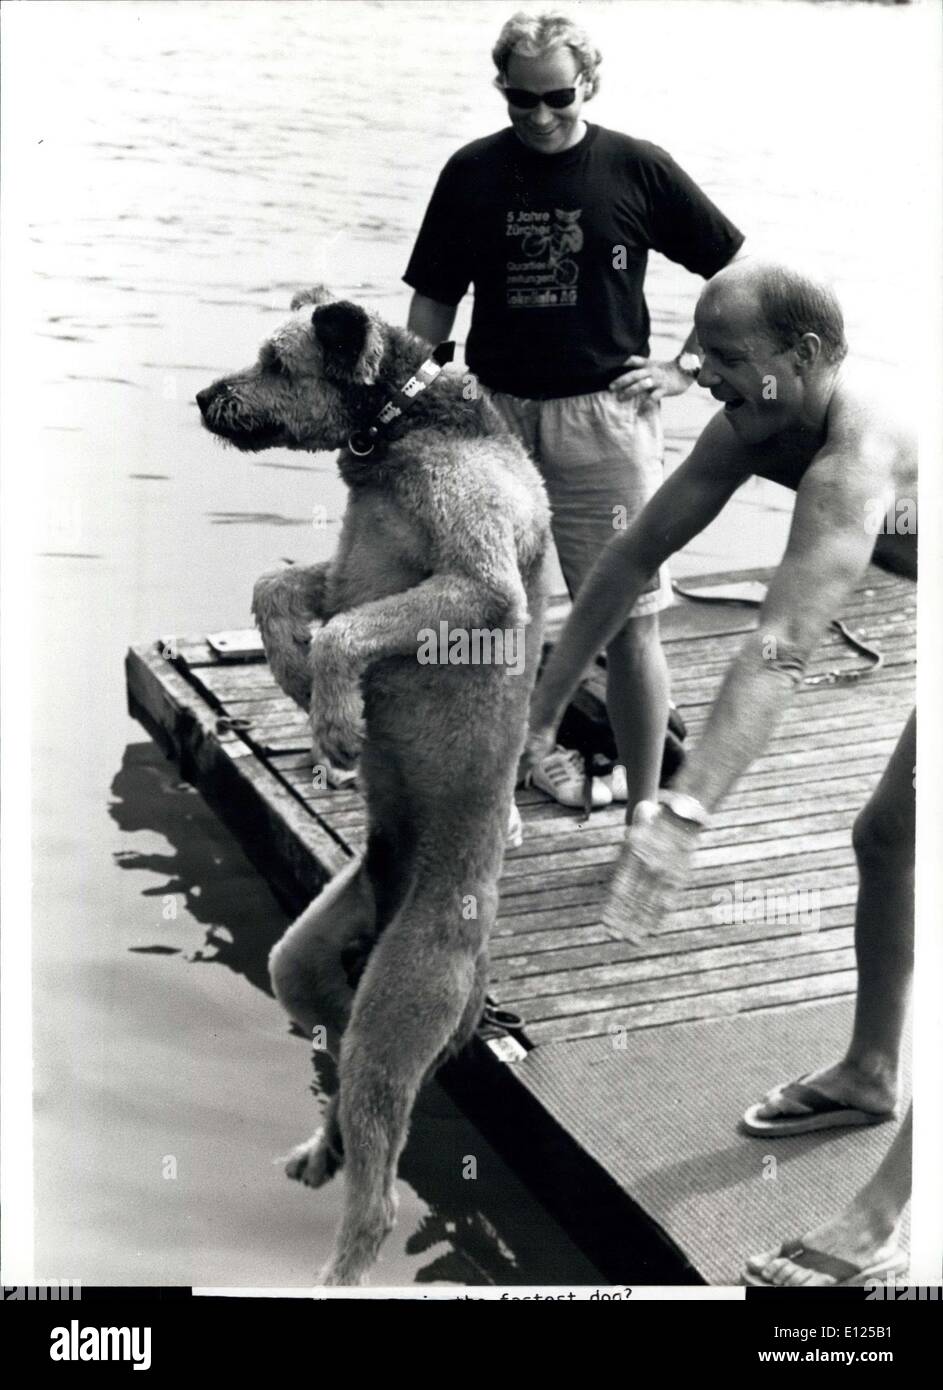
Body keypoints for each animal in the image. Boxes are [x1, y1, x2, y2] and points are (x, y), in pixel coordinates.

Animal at [196, 287, 550, 1284]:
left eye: (276, 363)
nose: (204, 397)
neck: (402, 425)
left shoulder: (475, 587)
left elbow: (347, 632)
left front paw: (335, 723)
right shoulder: (345, 570)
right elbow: (273, 589)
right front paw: (289, 674)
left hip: (399, 1008)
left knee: (381, 1195)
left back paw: (339, 1270)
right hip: (307, 967)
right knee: (348, 1089)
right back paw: (324, 1150)